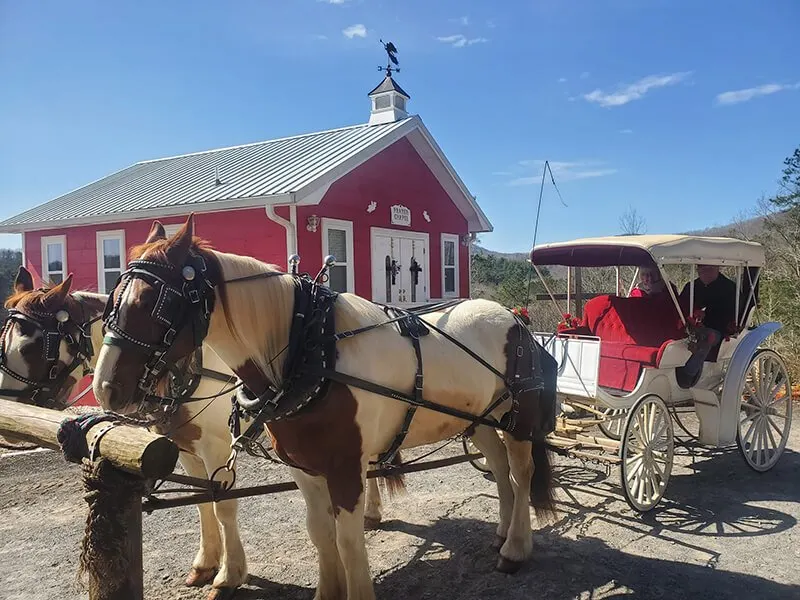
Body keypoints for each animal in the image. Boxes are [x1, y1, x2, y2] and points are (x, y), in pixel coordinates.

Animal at [92, 216, 556, 600]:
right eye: (112, 299)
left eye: (156, 303)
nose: (106, 388)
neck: (309, 349)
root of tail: (515, 317)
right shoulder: (301, 466)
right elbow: (319, 533)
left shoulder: (344, 468)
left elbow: (347, 542)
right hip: (479, 420)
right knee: (499, 467)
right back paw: (501, 532)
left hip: (517, 420)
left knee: (521, 472)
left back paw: (516, 548)